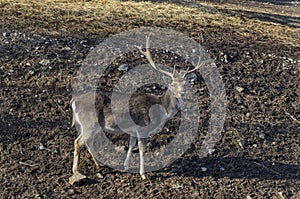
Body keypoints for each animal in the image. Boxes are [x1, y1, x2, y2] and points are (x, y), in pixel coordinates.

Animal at [68, 34, 202, 185]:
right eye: (172, 84)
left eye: (185, 84)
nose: (181, 93)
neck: (161, 111)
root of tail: (74, 101)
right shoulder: (143, 127)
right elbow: (142, 149)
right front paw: (143, 174)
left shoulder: (133, 130)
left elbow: (131, 145)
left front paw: (126, 166)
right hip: (89, 123)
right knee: (78, 142)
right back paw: (76, 171)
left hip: (91, 126)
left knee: (87, 142)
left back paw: (99, 163)